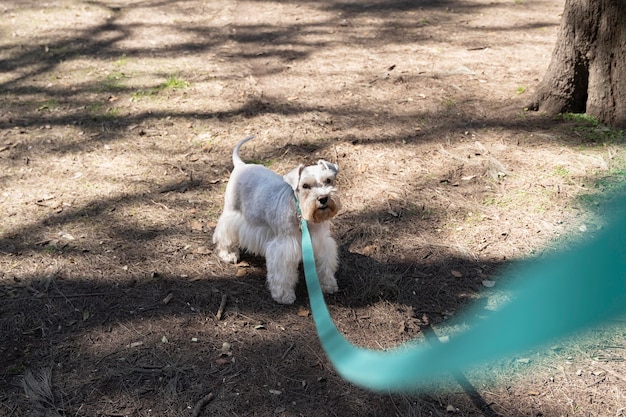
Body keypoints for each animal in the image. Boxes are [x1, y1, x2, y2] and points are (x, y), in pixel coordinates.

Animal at [214, 136, 342, 302]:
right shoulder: (284, 248)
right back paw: (228, 254)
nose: (323, 198)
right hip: (231, 212)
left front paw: (328, 285)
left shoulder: (321, 242)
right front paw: (284, 295)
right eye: (305, 185)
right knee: (224, 234)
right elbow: (283, 274)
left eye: (328, 180)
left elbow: (325, 265)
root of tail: (241, 165)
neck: (302, 215)